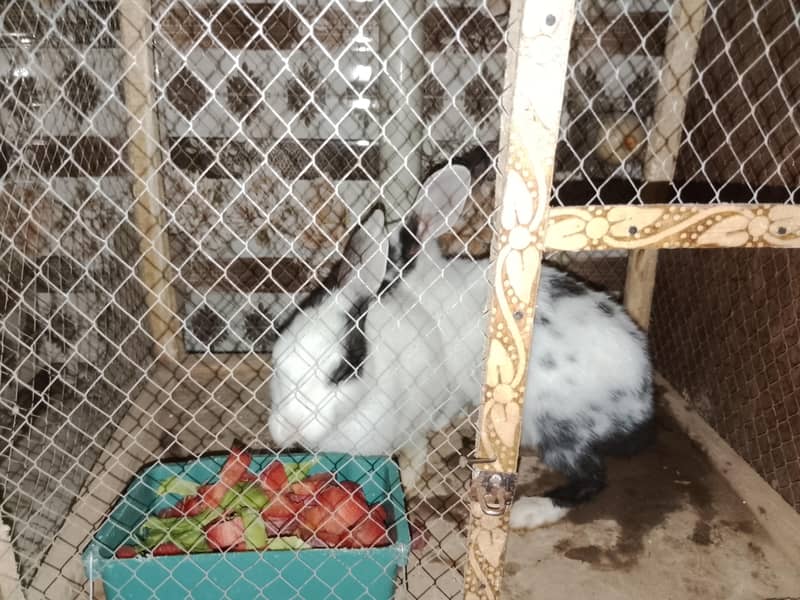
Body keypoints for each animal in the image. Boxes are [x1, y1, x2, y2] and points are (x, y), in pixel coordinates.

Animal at [269, 154, 655, 529]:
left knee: (593, 479)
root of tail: (642, 401)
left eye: (390, 255)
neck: (423, 286)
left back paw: (528, 512)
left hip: (554, 426)